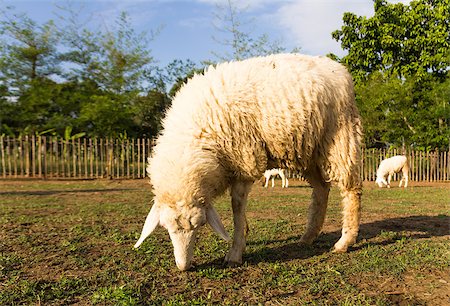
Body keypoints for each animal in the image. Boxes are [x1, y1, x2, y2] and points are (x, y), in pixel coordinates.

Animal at [133, 52, 362, 270]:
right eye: (166, 228)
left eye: (200, 225)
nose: (183, 266)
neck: (195, 136)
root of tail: (339, 69)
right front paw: (244, 236)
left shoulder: (244, 161)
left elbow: (237, 206)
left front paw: (235, 252)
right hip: (308, 150)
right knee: (321, 189)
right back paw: (308, 236)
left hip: (340, 138)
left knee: (351, 189)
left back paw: (345, 241)